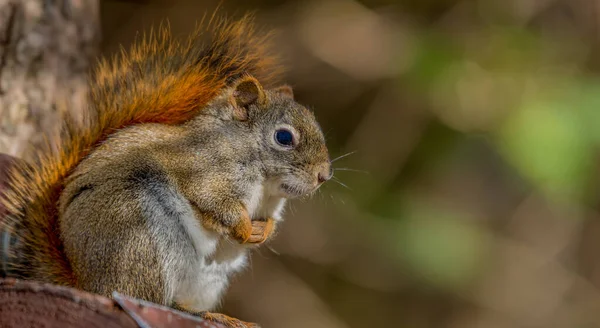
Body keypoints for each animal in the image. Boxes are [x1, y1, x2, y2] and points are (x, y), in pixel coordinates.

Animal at [0, 13, 330, 328]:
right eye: (283, 137)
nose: (323, 176)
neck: (265, 186)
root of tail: (86, 283)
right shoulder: (202, 172)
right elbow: (215, 203)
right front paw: (244, 229)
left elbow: (268, 222)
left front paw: (263, 232)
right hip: (139, 239)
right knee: (147, 298)